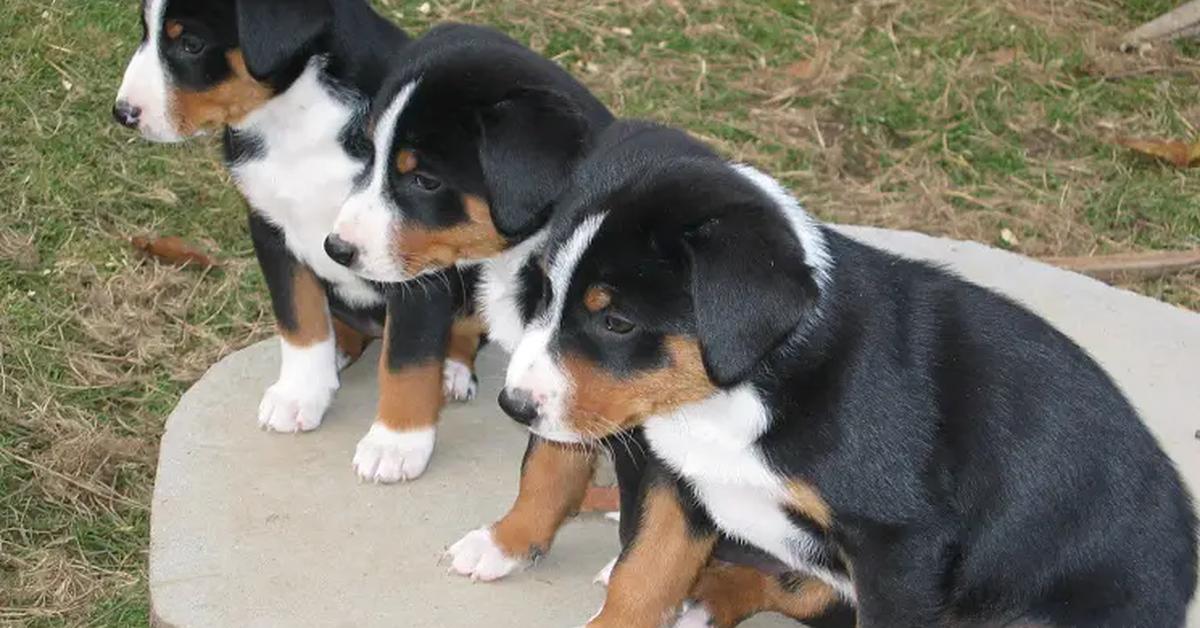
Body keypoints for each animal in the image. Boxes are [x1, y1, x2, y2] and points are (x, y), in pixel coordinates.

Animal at [110, 0, 484, 485]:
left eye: (191, 44)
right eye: (145, 32)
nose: (123, 112)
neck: (295, 120)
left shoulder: (415, 255)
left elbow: (409, 357)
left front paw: (395, 443)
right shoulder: (272, 230)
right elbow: (300, 320)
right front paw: (300, 392)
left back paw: (452, 371)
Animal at [499, 121, 1200, 628]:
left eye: (616, 322)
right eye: (543, 294)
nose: (514, 407)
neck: (741, 393)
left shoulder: (899, 547)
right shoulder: (678, 480)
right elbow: (644, 572)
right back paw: (703, 595)